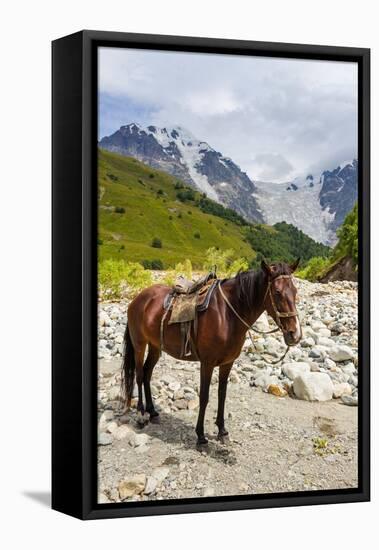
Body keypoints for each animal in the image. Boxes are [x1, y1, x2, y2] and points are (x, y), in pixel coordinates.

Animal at [121, 260, 302, 448]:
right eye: (277, 292)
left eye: (295, 291)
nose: (295, 334)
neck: (227, 314)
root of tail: (138, 298)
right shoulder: (207, 363)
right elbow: (204, 397)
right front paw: (200, 436)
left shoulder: (227, 363)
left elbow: (222, 395)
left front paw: (222, 431)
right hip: (139, 344)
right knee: (139, 375)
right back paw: (141, 415)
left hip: (156, 346)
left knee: (147, 374)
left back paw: (153, 412)